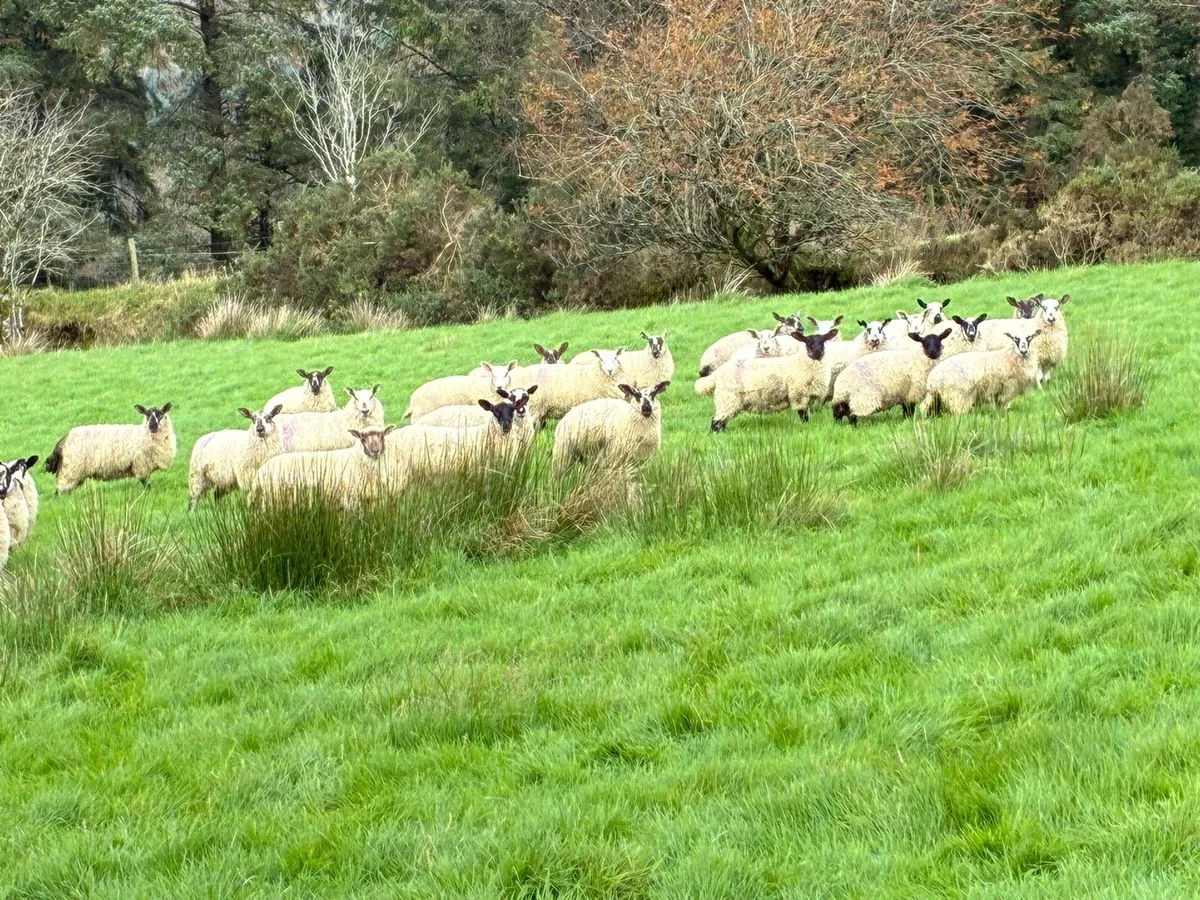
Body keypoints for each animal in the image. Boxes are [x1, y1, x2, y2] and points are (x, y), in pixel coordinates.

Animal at [45, 404, 177, 493]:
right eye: (147, 415)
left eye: (160, 414)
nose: (152, 426)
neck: (142, 435)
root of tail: (64, 439)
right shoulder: (141, 465)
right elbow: (145, 484)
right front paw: (147, 493)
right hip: (70, 470)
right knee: (59, 492)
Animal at [251, 425, 399, 507]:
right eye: (362, 438)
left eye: (382, 436)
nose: (375, 451)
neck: (356, 459)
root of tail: (260, 470)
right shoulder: (350, 500)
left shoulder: (371, 500)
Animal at [698, 330, 839, 431]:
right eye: (807, 342)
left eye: (823, 341)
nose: (817, 352)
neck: (803, 363)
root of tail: (717, 374)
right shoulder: (798, 395)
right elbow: (803, 416)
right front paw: (805, 427)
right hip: (727, 399)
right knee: (716, 423)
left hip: (728, 401)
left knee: (721, 423)